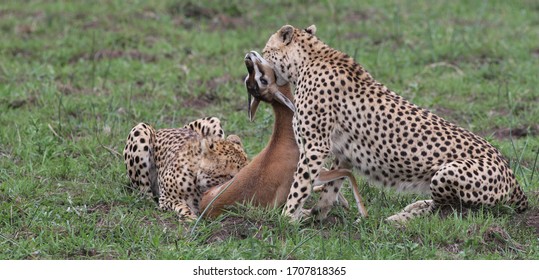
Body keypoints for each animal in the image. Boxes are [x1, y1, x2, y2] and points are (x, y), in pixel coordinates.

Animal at [262, 24, 528, 223]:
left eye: (266, 51)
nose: (259, 59)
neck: (309, 59)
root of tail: (510, 171)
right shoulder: (342, 152)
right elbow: (332, 187)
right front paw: (317, 214)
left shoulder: (315, 147)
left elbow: (300, 185)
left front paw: (286, 218)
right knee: (443, 205)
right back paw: (411, 208)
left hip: (447, 172)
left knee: (449, 210)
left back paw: (401, 218)